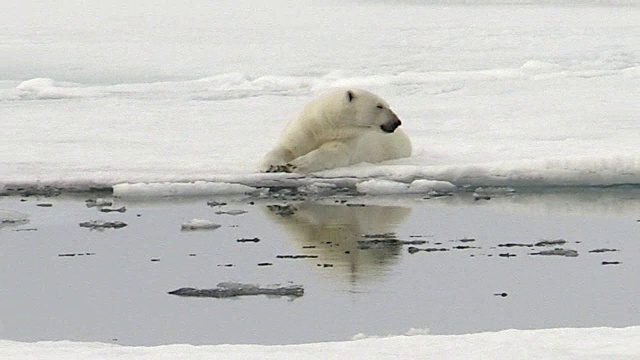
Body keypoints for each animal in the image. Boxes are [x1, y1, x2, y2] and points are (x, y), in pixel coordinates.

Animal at [258, 86, 412, 172]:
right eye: (379, 106)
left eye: (387, 105)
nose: (396, 122)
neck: (323, 126)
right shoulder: (303, 129)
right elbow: (286, 148)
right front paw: (273, 166)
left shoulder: (347, 137)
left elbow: (333, 152)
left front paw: (295, 165)